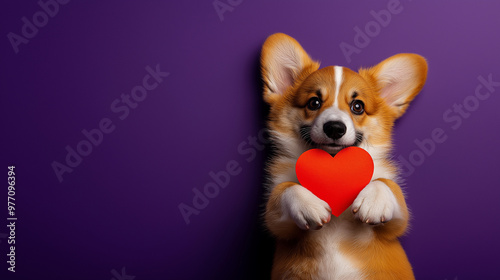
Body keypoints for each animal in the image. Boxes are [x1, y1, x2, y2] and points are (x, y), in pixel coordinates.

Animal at [260, 33, 428, 280]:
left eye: (357, 106)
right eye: (314, 102)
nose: (335, 128)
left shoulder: (396, 224)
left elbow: (386, 185)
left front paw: (373, 200)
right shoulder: (279, 226)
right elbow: (285, 189)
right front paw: (308, 205)